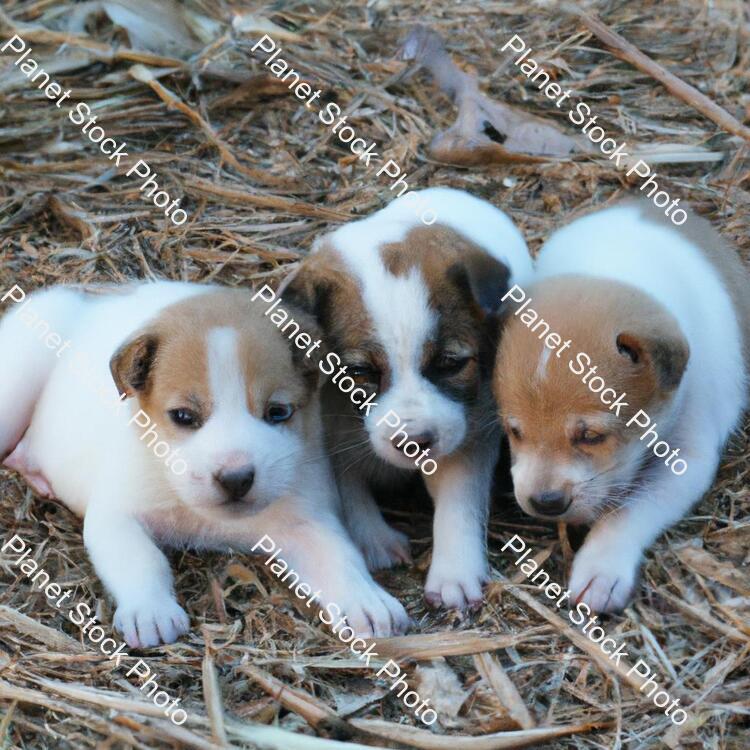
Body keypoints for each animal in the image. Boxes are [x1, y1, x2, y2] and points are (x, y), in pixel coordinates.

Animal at [0, 284, 412, 648]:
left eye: (278, 412)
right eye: (183, 416)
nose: (236, 479)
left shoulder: (306, 523)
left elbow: (341, 558)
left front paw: (367, 600)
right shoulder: (116, 515)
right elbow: (140, 559)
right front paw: (151, 610)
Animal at [284, 188, 536, 612]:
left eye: (450, 363)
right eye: (360, 371)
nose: (415, 443)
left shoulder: (468, 432)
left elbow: (458, 501)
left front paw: (455, 574)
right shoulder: (327, 433)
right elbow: (348, 488)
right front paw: (373, 538)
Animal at [496, 203, 748, 612]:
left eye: (591, 436)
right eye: (514, 432)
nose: (545, 503)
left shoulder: (687, 459)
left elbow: (627, 511)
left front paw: (600, 570)